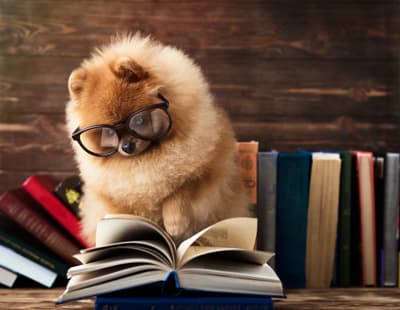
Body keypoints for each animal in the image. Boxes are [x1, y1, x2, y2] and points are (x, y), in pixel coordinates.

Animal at [65, 34, 250, 246]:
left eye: (139, 120)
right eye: (107, 134)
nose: (127, 146)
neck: (147, 159)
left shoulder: (209, 169)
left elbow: (181, 189)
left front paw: (175, 222)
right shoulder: (113, 199)